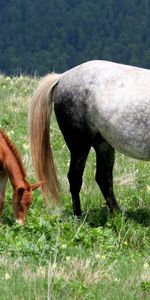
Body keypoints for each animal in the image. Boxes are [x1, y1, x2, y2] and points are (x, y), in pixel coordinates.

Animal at [28, 61, 150, 216]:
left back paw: (117, 214)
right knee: (75, 177)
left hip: (103, 144)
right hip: (80, 144)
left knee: (103, 178)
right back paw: (78, 215)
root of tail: (62, 76)